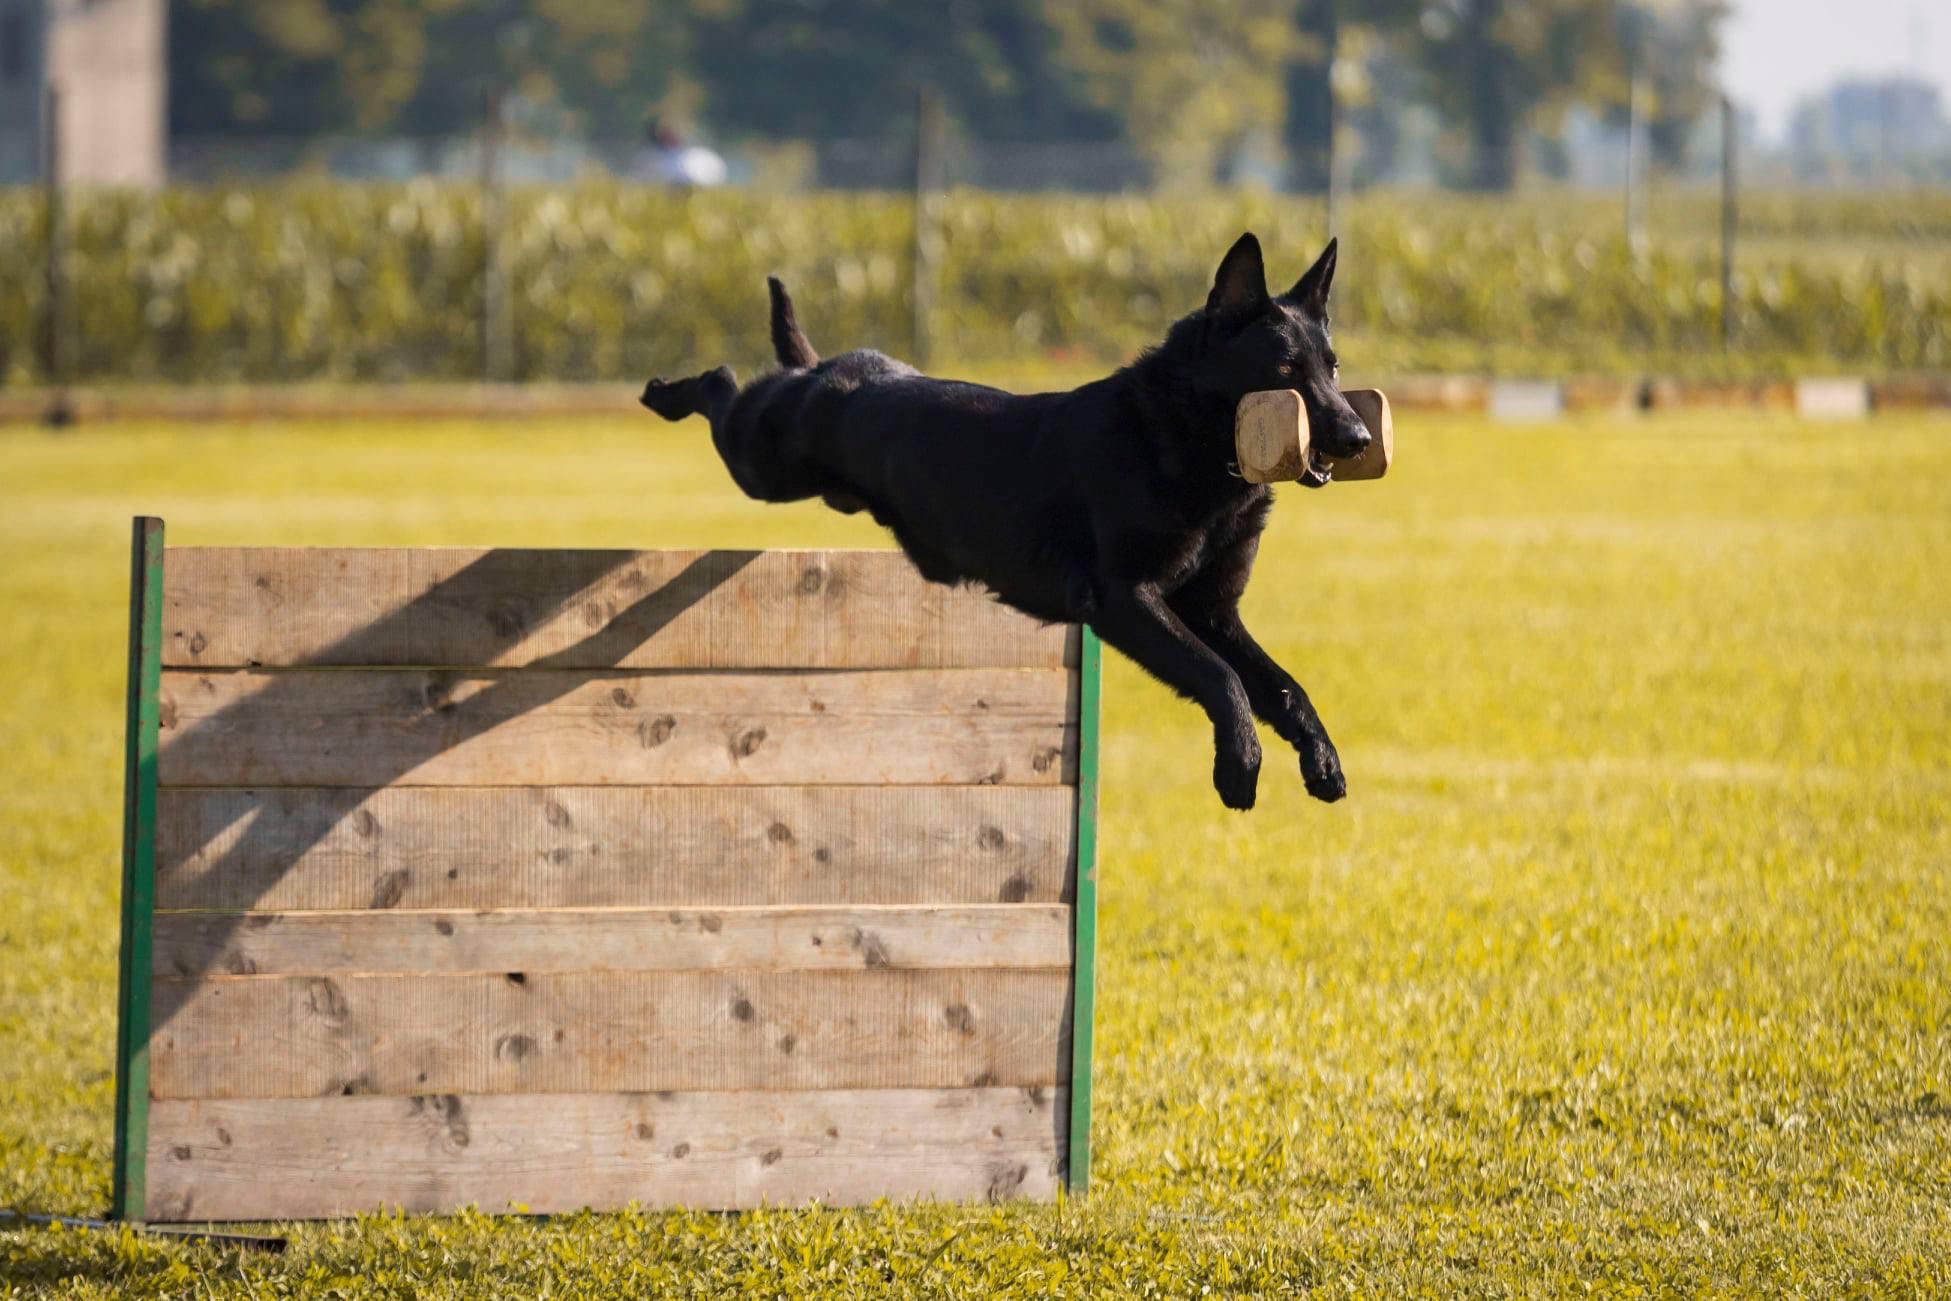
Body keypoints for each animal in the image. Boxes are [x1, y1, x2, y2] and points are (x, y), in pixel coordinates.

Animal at [643, 229, 1373, 807]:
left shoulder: (1212, 611)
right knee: (722, 382)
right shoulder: (1124, 599)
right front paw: (1239, 768)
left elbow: (1282, 687)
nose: (1359, 436)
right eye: (1286, 369)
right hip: (761, 463)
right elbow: (1222, 678)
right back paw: (667, 392)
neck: (1184, 438)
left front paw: (1322, 760)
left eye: (1333, 368)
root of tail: (824, 367)